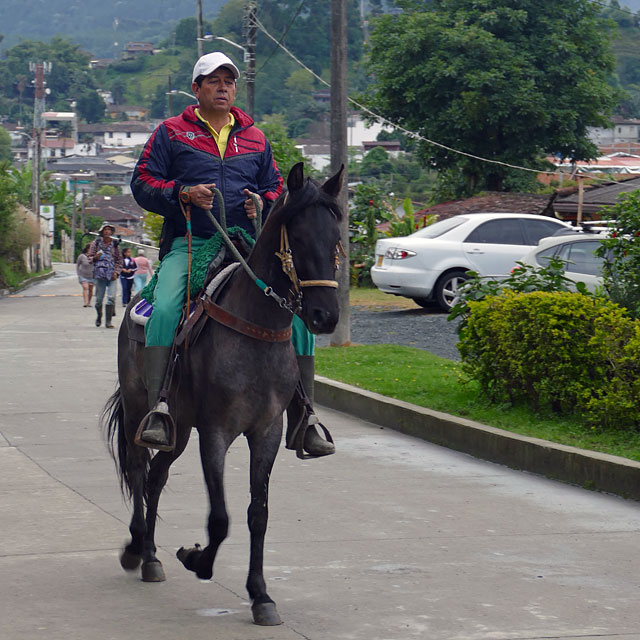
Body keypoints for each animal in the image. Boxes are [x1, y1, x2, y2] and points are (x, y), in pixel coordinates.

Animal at [104, 164, 344, 624]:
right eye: (300, 238)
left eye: (336, 238)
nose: (325, 316)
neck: (256, 328)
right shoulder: (215, 432)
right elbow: (220, 518)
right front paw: (197, 559)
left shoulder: (266, 432)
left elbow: (257, 514)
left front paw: (261, 595)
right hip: (141, 409)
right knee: (140, 469)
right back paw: (136, 549)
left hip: (179, 426)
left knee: (157, 477)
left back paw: (151, 556)